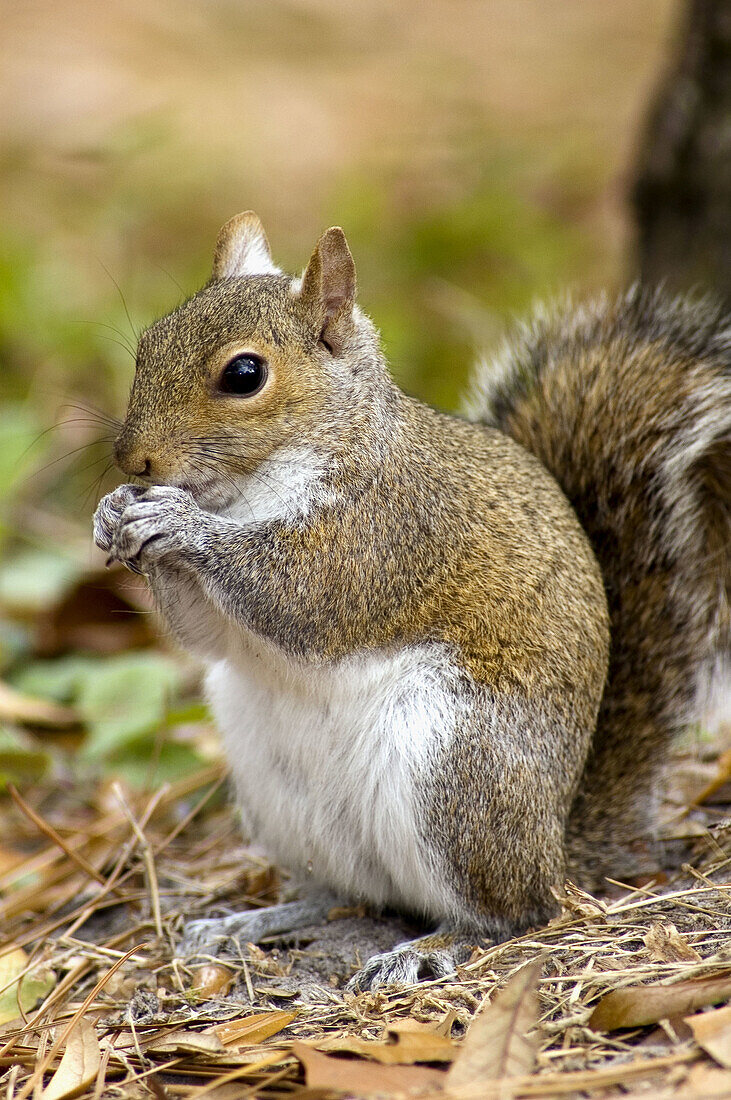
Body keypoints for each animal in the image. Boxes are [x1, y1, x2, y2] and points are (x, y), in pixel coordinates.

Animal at [92, 212, 729, 990]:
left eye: (244, 374)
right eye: (149, 342)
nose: (134, 461)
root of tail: (557, 843)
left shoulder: (384, 537)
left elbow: (298, 598)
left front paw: (177, 522)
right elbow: (208, 637)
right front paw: (114, 512)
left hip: (454, 766)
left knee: (513, 911)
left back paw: (435, 946)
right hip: (278, 788)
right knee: (347, 892)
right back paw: (253, 920)